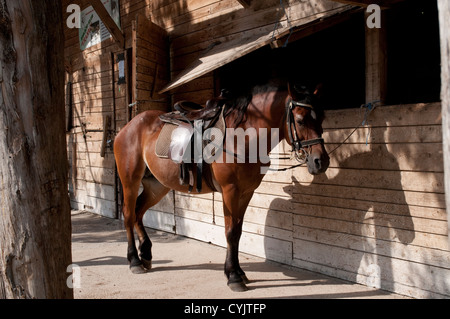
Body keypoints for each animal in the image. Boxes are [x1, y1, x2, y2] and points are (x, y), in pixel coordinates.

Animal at [114, 82, 328, 292]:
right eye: (300, 120)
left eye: (322, 118)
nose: (321, 161)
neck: (242, 137)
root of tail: (127, 127)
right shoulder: (230, 191)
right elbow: (230, 232)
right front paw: (233, 276)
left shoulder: (246, 192)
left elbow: (238, 231)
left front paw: (238, 272)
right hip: (130, 181)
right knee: (129, 214)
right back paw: (134, 261)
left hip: (157, 186)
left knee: (138, 212)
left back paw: (145, 255)